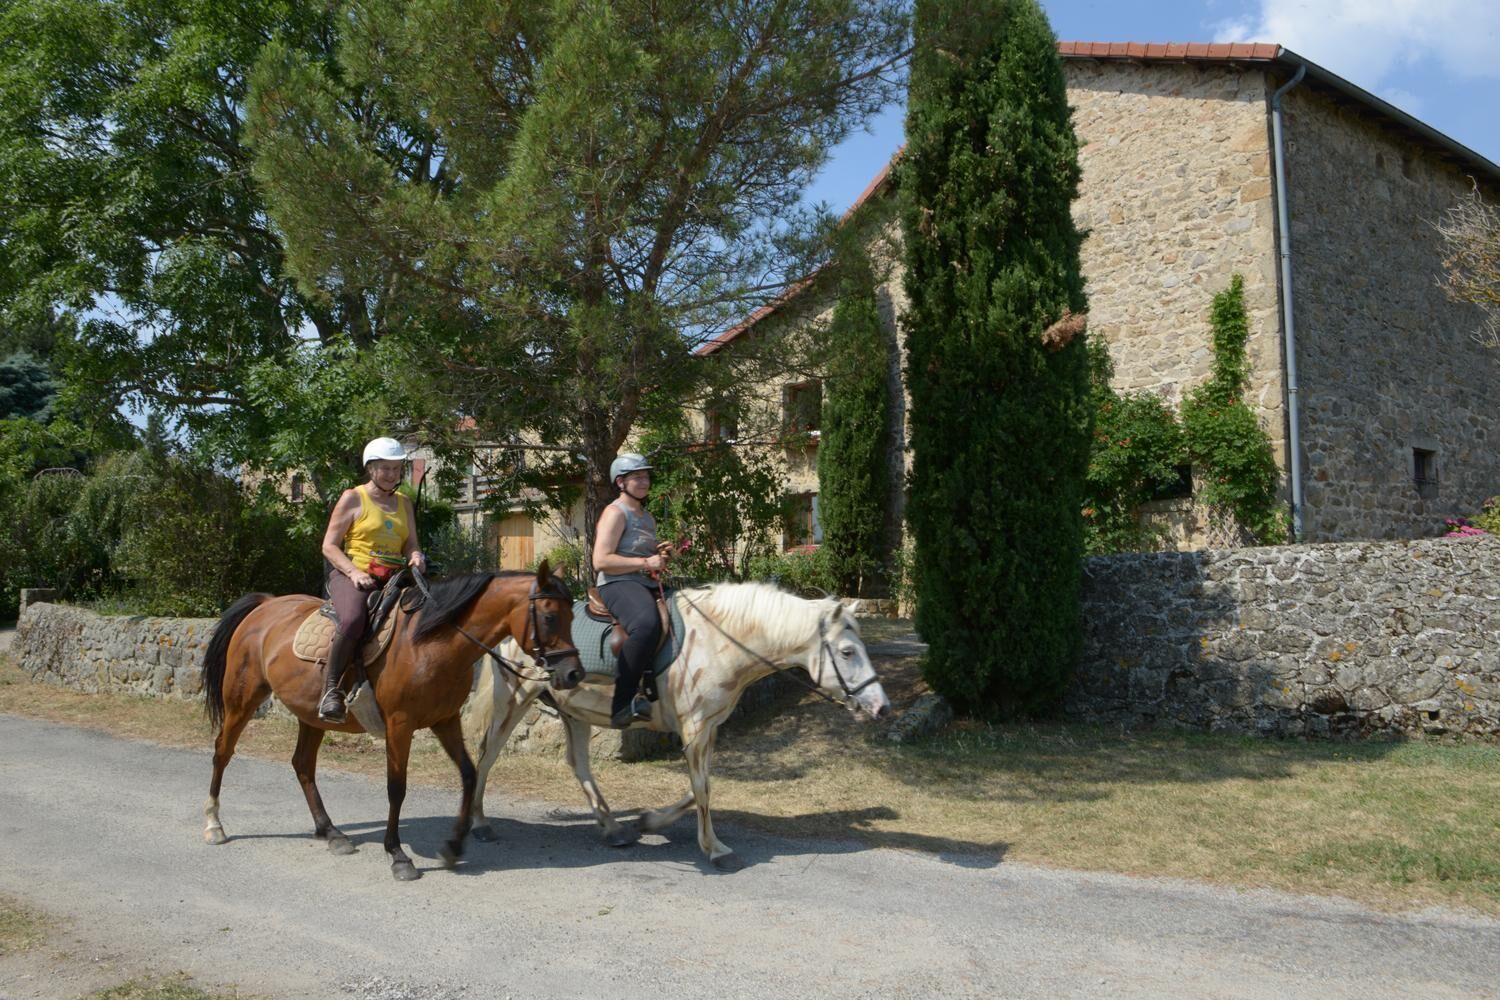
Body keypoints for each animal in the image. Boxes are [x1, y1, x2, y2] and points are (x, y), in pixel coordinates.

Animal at [200, 562, 584, 881]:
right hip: (241, 700)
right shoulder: (399, 725)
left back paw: (331, 832)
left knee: (303, 765)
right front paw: (398, 855)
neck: (429, 641)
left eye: (571, 616)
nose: (573, 673)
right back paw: (214, 824)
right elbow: (396, 788)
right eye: (550, 617)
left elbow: (469, 774)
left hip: (311, 715)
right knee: (222, 752)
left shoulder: (445, 720)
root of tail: (264, 605)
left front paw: (452, 847)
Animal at [465, 581, 891, 871]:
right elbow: (702, 789)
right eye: (847, 652)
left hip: (573, 711)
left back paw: (613, 827)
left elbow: (699, 786)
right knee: (487, 754)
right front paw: (715, 849)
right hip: (514, 698)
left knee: (579, 764)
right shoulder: (696, 727)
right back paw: (480, 822)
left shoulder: (708, 727)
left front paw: (651, 820)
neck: (718, 642)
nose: (881, 707)